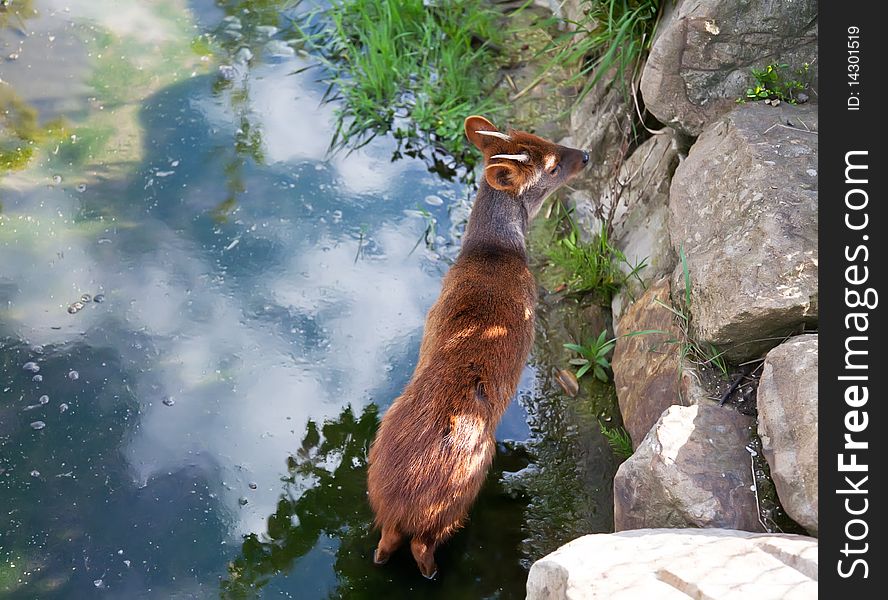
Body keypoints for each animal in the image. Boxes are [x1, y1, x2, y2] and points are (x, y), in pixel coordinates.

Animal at [368, 115, 588, 580]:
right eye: (553, 165)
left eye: (542, 138)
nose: (586, 154)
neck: (492, 251)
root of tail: (399, 508)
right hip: (466, 483)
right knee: (424, 545)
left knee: (384, 545)